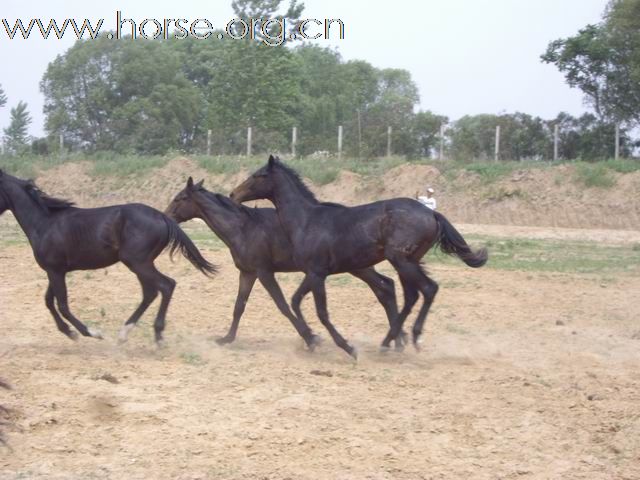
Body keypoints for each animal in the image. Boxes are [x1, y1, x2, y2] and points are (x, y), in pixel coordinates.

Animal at [0, 171, 218, 344]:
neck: (44, 222)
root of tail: (163, 217)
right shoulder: (55, 270)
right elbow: (48, 301)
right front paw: (69, 332)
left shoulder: (55, 270)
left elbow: (62, 305)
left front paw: (91, 333)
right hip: (141, 264)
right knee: (151, 292)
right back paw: (124, 333)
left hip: (138, 262)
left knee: (166, 285)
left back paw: (157, 336)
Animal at [165, 180, 400, 348]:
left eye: (179, 198)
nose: (166, 216)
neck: (243, 228)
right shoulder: (247, 273)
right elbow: (239, 306)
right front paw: (226, 338)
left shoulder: (264, 272)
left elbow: (283, 305)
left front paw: (310, 338)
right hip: (357, 267)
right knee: (385, 287)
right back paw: (397, 340)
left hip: (358, 267)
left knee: (385, 287)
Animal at [232, 156, 488, 358]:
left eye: (258, 175)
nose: (233, 193)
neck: (306, 220)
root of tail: (432, 213)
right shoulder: (313, 272)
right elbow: (295, 301)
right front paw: (313, 339)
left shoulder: (317, 273)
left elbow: (321, 312)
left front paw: (346, 347)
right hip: (406, 262)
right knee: (410, 295)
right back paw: (390, 340)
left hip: (401, 261)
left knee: (427, 289)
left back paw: (411, 337)